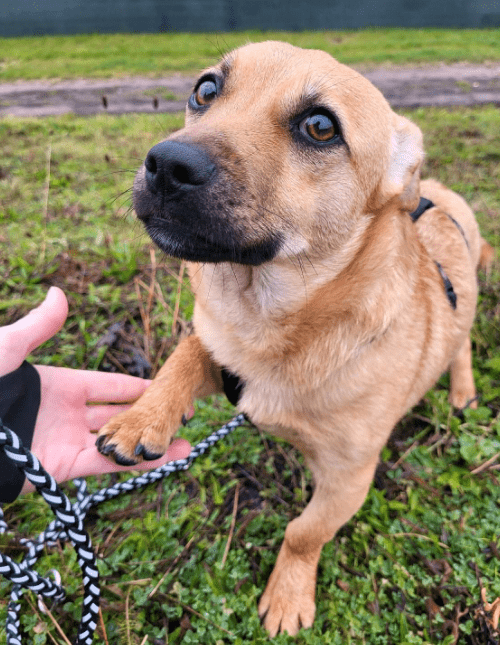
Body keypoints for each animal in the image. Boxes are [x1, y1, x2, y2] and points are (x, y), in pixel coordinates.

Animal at [95, 41, 494, 632]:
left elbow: (303, 533)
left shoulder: (348, 479)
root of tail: (440, 196)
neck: (269, 322)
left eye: (320, 126)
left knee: (461, 343)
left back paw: (463, 391)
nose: (167, 164)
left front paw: (287, 596)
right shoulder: (217, 342)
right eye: (205, 89)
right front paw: (140, 419)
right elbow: (184, 356)